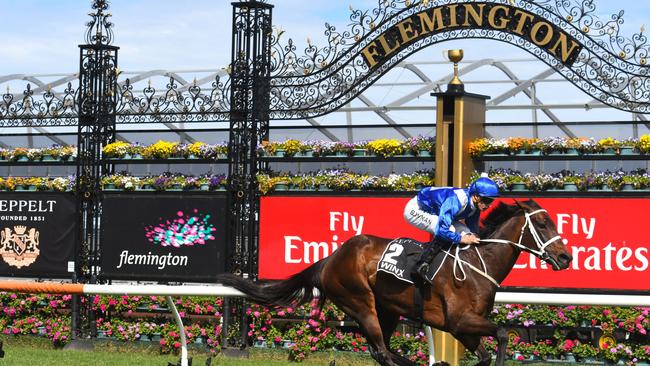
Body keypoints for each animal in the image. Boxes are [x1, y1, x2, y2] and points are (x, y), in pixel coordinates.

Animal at [216, 200, 568, 366]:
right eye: (541, 222)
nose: (565, 258)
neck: (477, 265)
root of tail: (330, 258)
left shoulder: (462, 328)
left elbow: (484, 352)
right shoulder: (459, 320)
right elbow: (504, 332)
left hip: (388, 310)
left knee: (380, 350)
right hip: (361, 303)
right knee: (381, 352)